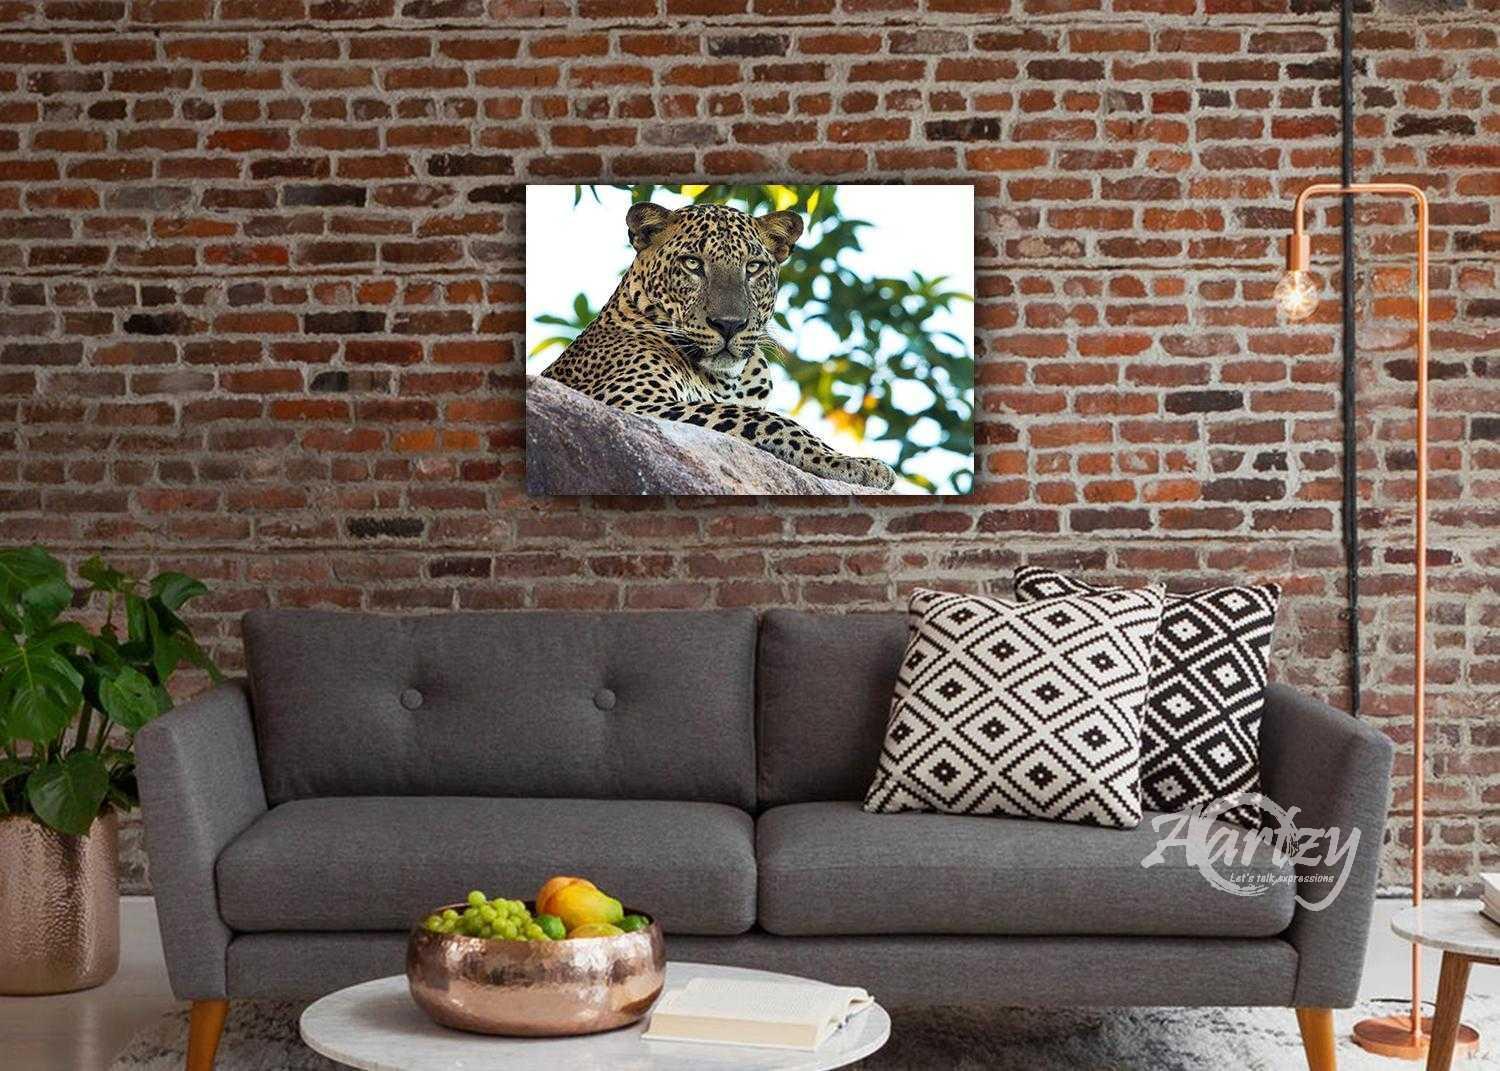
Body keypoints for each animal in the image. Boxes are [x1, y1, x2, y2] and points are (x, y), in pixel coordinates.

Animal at [540, 201, 898, 490]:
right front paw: (853, 464)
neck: (728, 380)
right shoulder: (628, 402)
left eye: (753, 267)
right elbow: (766, 419)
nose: (729, 325)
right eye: (692, 263)